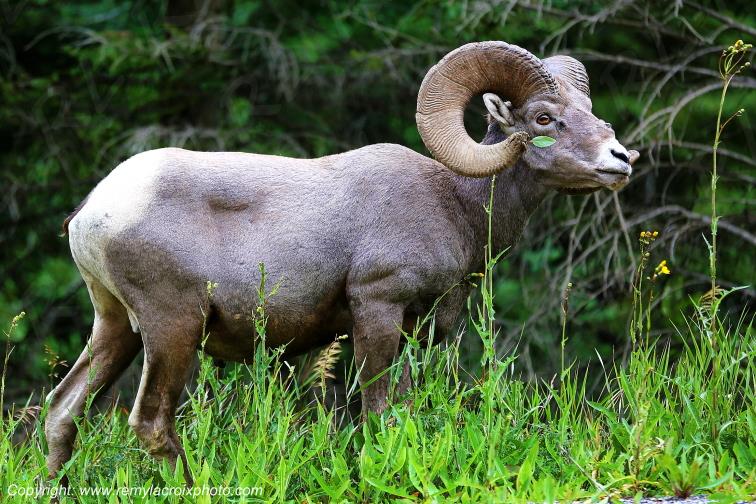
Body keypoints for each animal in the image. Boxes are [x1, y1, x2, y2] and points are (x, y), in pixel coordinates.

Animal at [46, 41, 639, 483]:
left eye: (589, 113)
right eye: (544, 117)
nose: (620, 160)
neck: (455, 202)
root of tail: (93, 211)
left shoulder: (412, 329)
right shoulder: (377, 311)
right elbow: (379, 412)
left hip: (115, 326)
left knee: (62, 410)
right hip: (172, 328)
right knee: (150, 423)